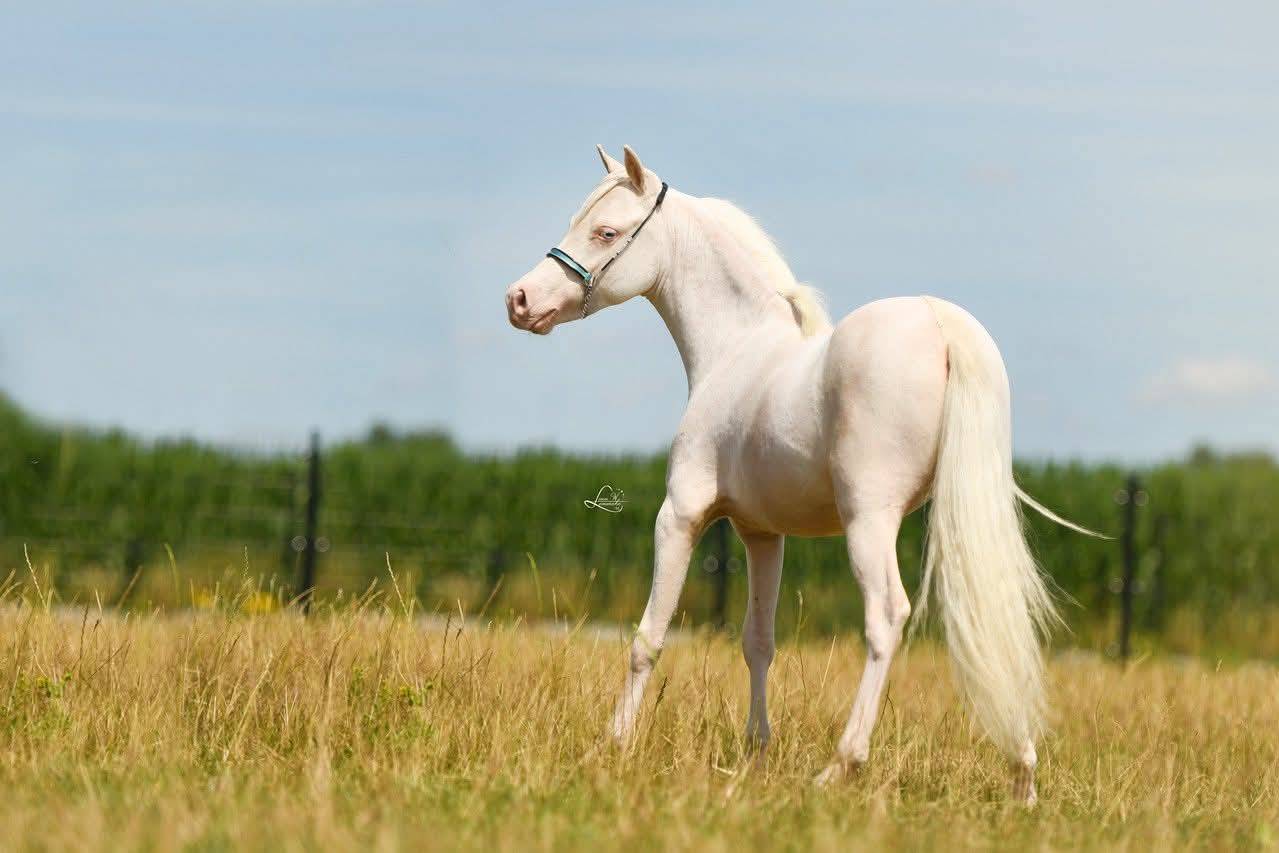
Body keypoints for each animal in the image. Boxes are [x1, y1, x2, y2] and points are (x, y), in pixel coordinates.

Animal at [503, 145, 1093, 804]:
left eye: (606, 231)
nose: (519, 299)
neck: (736, 353)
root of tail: (940, 324)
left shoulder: (680, 516)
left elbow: (647, 638)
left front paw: (615, 744)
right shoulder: (763, 536)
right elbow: (758, 642)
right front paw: (756, 754)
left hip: (870, 522)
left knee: (886, 617)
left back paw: (842, 765)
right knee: (995, 618)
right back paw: (1023, 777)